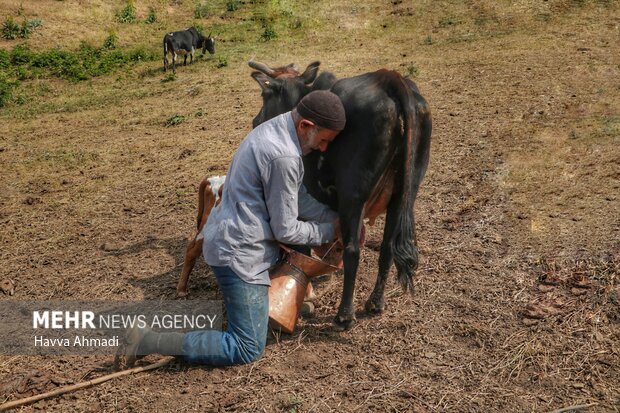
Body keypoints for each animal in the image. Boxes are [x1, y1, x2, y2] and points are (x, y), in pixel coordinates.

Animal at [251, 61, 432, 330]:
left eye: (265, 94)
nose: (256, 121)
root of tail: (388, 78)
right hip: (403, 195)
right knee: (387, 246)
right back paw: (375, 302)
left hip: (352, 197)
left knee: (353, 250)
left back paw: (345, 315)